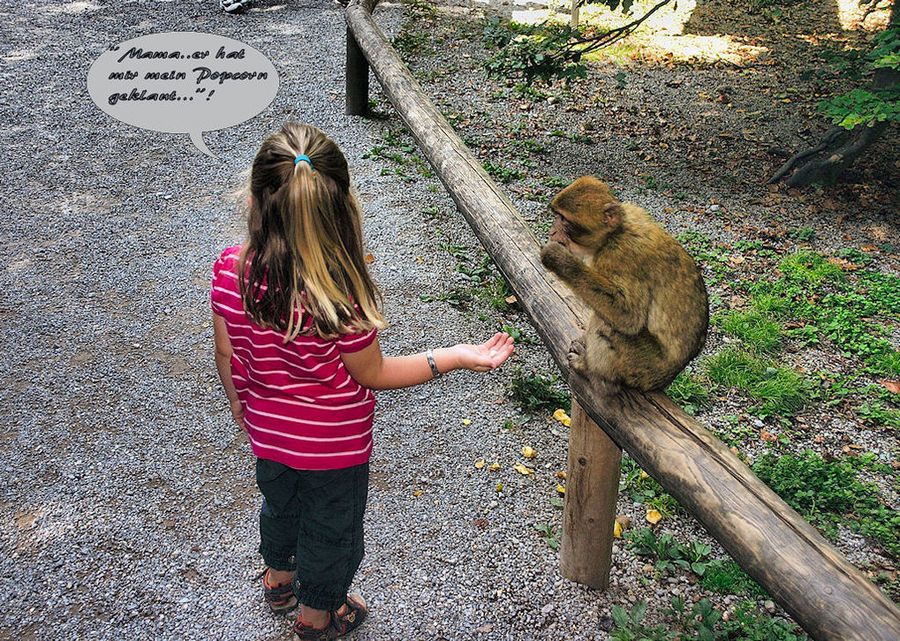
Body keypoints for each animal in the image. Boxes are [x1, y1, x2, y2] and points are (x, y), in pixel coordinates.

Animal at [536, 178, 708, 392]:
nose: (552, 231)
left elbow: (629, 317)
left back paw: (589, 369)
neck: (613, 235)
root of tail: (666, 379)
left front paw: (558, 258)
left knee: (608, 325)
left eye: (564, 219)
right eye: (556, 216)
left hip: (642, 368)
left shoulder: (622, 256)